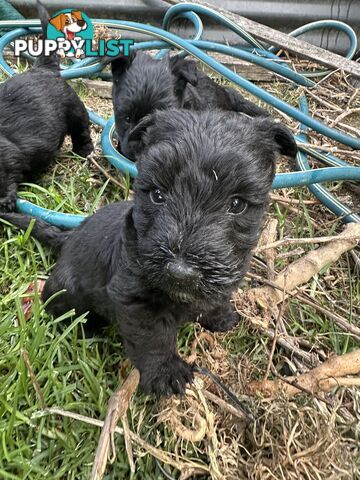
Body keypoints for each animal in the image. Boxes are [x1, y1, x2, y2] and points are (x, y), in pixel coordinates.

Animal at [0, 0, 93, 211]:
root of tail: (43, 69)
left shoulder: (6, 158)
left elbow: (6, 178)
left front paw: (5, 201)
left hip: (75, 110)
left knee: (81, 130)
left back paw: (83, 151)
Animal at [0, 109, 296, 398]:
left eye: (236, 204)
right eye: (157, 195)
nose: (181, 273)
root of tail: (69, 237)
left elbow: (213, 298)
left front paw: (219, 315)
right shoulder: (135, 299)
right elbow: (153, 338)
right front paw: (167, 373)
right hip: (66, 291)